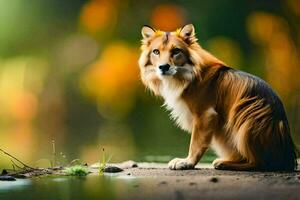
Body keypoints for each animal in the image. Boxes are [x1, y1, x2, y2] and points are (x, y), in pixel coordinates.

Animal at [138, 24, 298, 171]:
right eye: (156, 52)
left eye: (176, 51)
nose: (163, 67)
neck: (187, 74)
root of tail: (288, 158)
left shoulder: (205, 115)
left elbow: (196, 143)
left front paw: (187, 162)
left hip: (247, 115)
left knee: (258, 163)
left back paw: (225, 164)